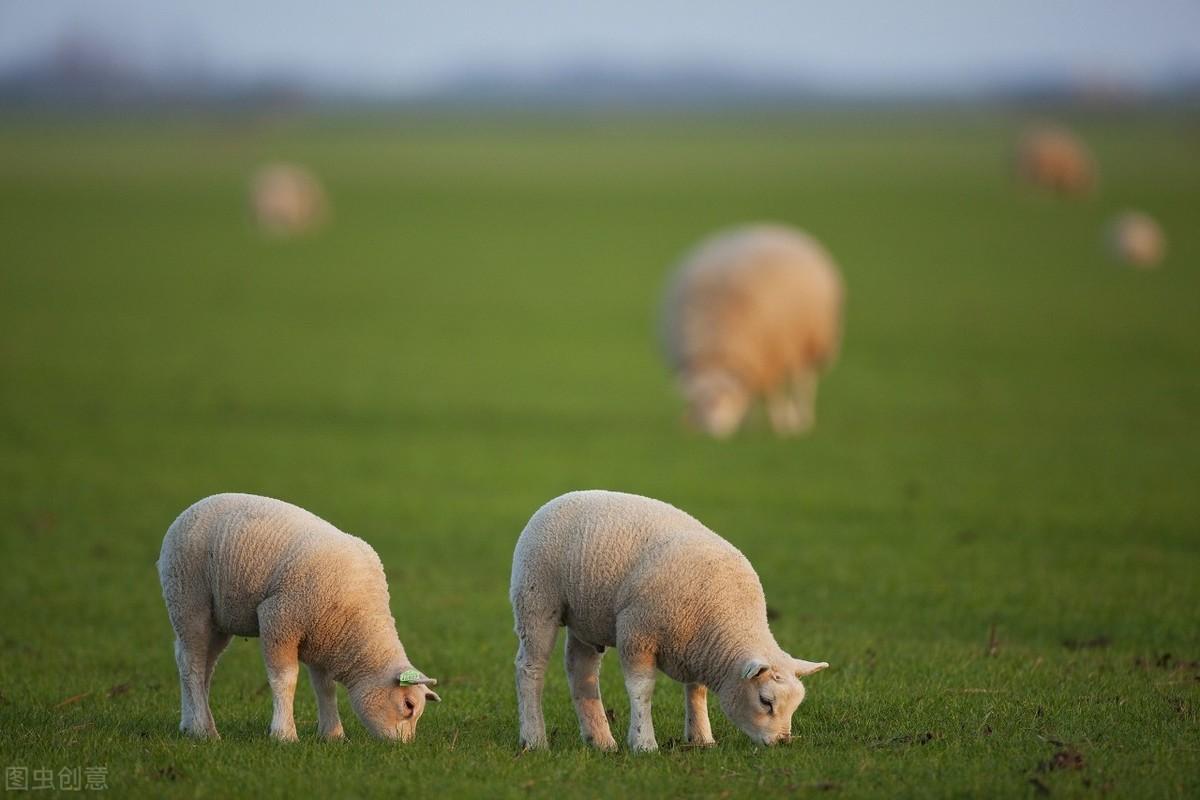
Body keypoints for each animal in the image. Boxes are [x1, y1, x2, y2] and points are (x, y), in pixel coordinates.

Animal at [156, 494, 441, 743]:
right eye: (408, 705)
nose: (403, 746)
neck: (358, 623)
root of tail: (192, 508)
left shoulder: (323, 638)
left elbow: (325, 688)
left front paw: (333, 735)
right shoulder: (279, 617)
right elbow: (285, 680)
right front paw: (284, 735)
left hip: (219, 619)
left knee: (202, 664)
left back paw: (193, 724)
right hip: (188, 598)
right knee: (191, 663)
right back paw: (202, 730)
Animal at [506, 489, 825, 753]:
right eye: (765, 701)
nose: (782, 742)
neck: (726, 618)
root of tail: (560, 498)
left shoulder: (697, 645)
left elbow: (697, 691)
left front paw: (701, 738)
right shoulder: (637, 633)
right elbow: (642, 690)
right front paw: (644, 743)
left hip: (587, 618)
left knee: (581, 672)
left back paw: (601, 741)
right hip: (536, 599)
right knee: (530, 668)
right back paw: (535, 739)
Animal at [657, 224, 844, 438]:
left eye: (725, 398)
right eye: (696, 403)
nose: (713, 432)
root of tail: (770, 226)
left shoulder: (771, 356)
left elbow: (774, 396)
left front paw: (780, 426)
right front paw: (750, 427)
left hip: (810, 341)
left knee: (802, 383)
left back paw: (800, 420)